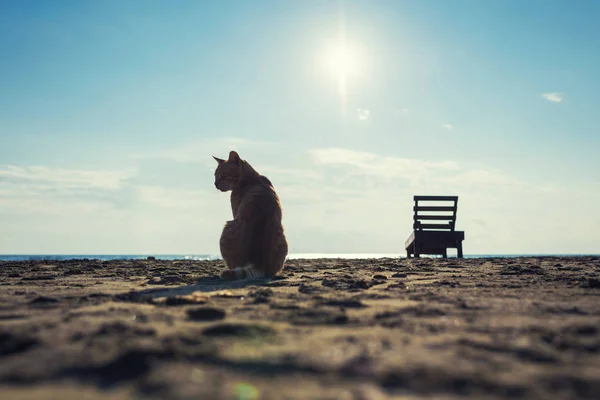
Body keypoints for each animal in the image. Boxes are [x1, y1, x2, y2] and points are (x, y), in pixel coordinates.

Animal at [213, 152, 288, 280]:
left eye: (223, 176)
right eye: (215, 175)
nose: (215, 184)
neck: (252, 179)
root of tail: (256, 263)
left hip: (227, 228)